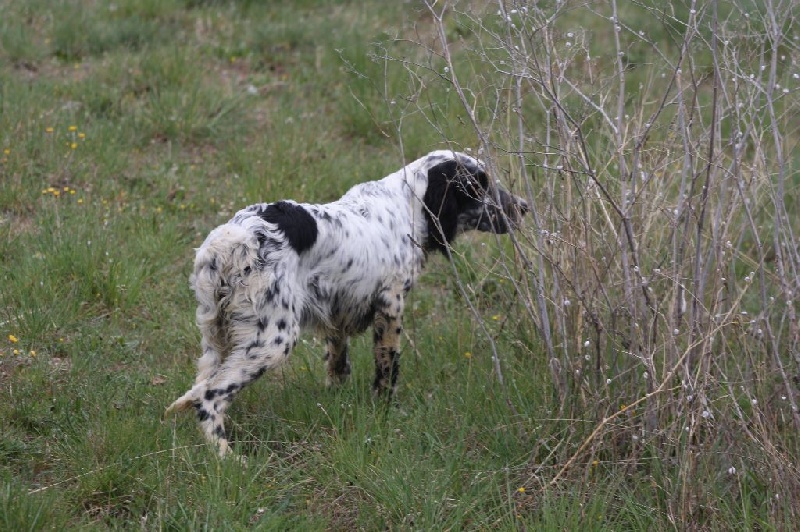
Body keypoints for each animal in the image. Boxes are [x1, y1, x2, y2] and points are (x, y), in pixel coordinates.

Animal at [166, 151, 528, 458]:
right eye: (477, 186)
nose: (523, 206)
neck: (407, 206)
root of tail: (229, 243)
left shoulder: (336, 313)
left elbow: (338, 365)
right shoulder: (390, 305)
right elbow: (387, 368)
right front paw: (385, 409)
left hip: (216, 335)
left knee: (201, 386)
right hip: (273, 339)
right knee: (210, 396)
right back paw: (227, 456)